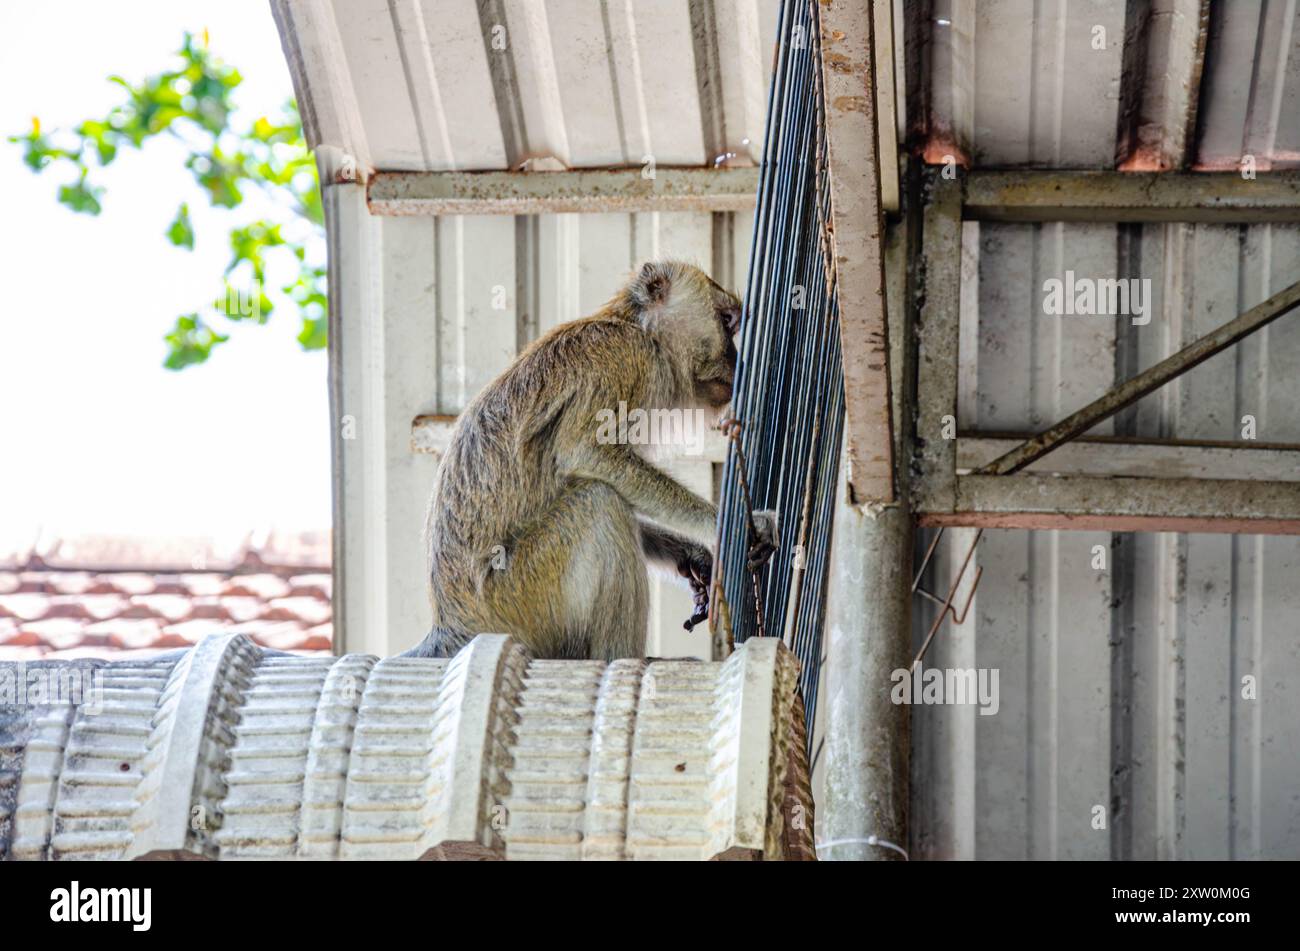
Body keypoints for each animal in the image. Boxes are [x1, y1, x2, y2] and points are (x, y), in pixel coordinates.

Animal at [405, 259, 769, 659]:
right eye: (727, 321)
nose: (738, 361)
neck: (639, 329)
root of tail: (451, 626)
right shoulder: (629, 359)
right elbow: (585, 453)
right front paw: (725, 524)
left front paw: (693, 554)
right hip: (516, 600)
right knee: (598, 503)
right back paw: (622, 657)